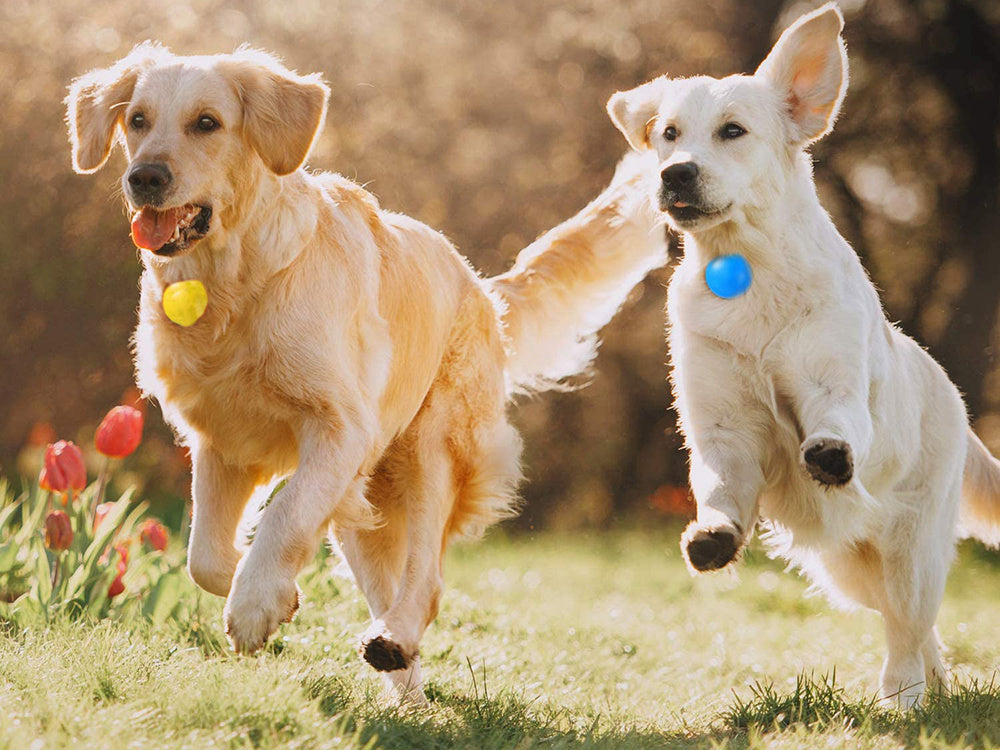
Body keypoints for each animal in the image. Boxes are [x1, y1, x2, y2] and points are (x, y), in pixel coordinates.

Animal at [68, 42, 664, 700]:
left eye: (207, 123)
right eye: (138, 120)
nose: (145, 177)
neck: (236, 278)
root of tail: (481, 286)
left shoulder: (339, 428)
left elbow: (284, 514)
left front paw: (255, 606)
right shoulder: (223, 443)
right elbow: (205, 557)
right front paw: (276, 596)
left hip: (431, 449)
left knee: (427, 583)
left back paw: (393, 639)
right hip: (363, 510)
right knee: (391, 594)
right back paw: (405, 692)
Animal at [604, 2, 1000, 708]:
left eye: (733, 130)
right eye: (669, 134)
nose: (675, 173)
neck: (747, 270)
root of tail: (952, 393)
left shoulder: (832, 383)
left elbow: (835, 422)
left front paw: (828, 452)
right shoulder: (721, 426)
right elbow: (718, 483)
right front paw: (713, 536)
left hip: (911, 549)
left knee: (907, 627)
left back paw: (905, 699)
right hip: (849, 567)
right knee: (913, 627)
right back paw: (936, 685)